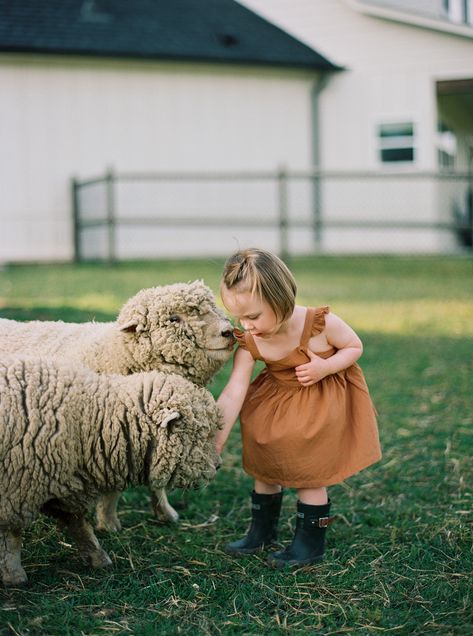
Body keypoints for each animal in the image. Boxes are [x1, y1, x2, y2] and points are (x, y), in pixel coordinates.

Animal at [0, 280, 234, 528]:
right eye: (174, 318)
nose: (228, 332)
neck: (114, 351)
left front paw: (165, 512)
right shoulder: (112, 433)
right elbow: (114, 488)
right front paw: (108, 522)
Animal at [0, 358, 222, 588]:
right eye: (201, 435)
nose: (219, 466)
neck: (91, 417)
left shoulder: (64, 486)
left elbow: (78, 523)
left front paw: (97, 557)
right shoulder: (17, 488)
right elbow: (12, 535)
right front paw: (14, 575)